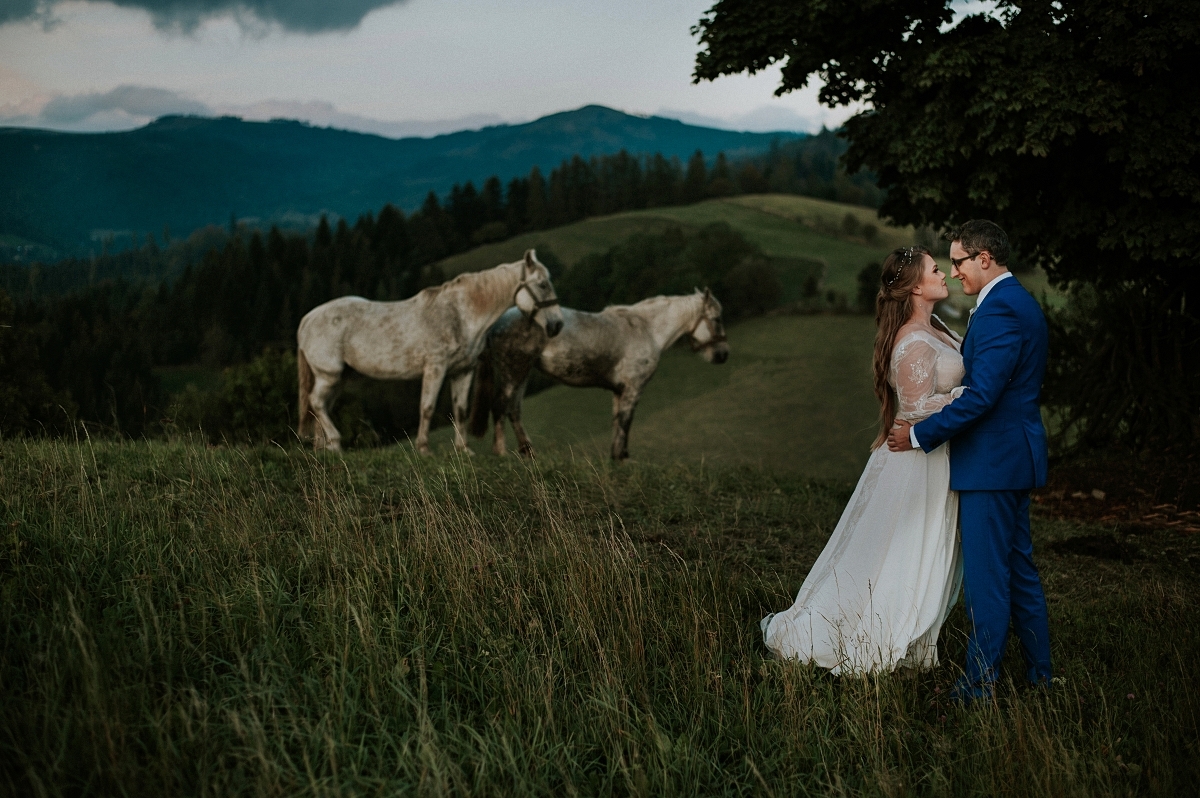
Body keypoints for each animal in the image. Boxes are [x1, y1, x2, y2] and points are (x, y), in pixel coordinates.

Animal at [297, 249, 564, 453]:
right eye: (542, 284)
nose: (557, 324)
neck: (461, 315)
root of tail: (308, 319)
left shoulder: (463, 371)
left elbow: (460, 409)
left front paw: (463, 449)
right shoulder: (435, 368)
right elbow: (427, 407)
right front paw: (423, 448)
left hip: (339, 377)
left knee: (321, 405)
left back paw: (324, 449)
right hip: (329, 374)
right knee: (317, 401)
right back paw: (335, 443)